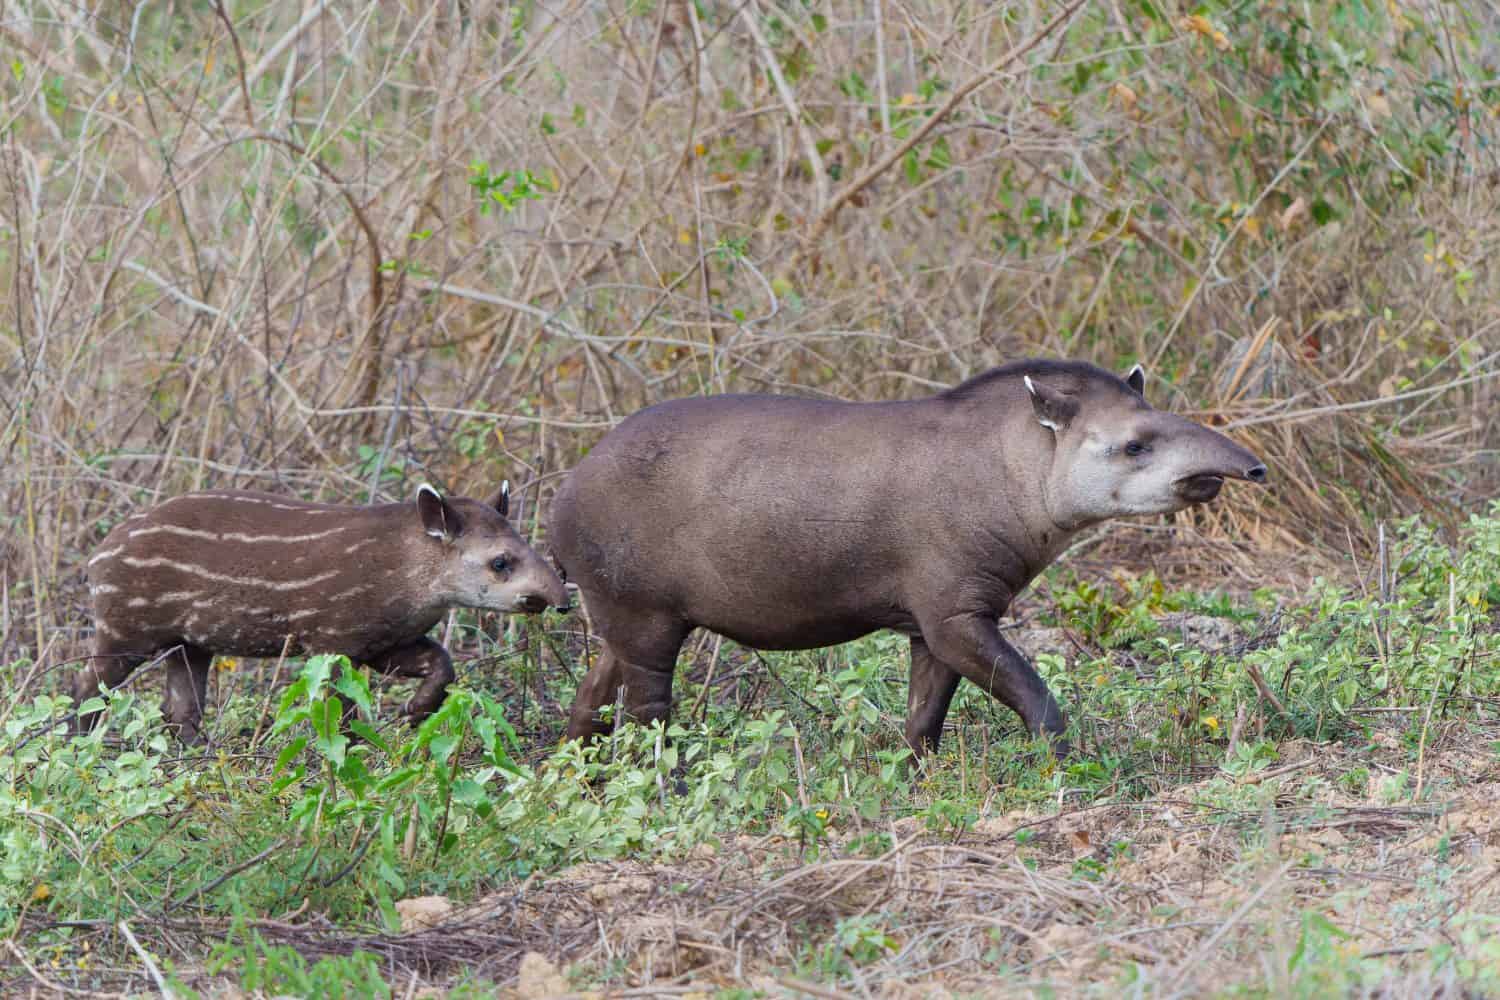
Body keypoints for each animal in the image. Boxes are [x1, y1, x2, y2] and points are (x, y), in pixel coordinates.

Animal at [69, 485, 567, 743]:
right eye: (500, 562)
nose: (561, 599)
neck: (410, 568)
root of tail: (96, 556)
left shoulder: (383, 640)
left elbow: (442, 663)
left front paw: (412, 713)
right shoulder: (334, 637)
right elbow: (340, 707)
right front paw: (352, 748)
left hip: (189, 641)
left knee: (179, 707)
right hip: (125, 626)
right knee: (87, 686)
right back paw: (76, 742)